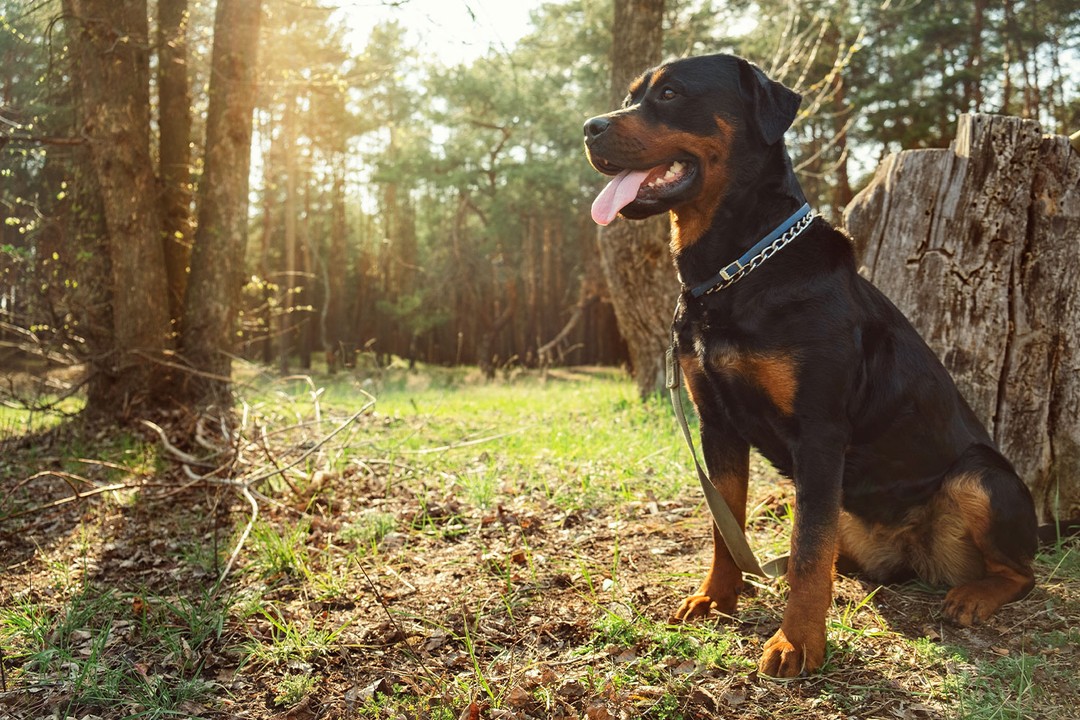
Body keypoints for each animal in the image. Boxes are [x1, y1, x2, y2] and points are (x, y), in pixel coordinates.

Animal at [587, 53, 1041, 677]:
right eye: (633, 96)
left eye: (672, 93)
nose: (590, 127)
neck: (735, 269)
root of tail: (915, 553)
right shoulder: (717, 427)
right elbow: (726, 524)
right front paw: (717, 598)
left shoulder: (820, 433)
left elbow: (805, 550)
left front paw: (796, 642)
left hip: (980, 478)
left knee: (1021, 572)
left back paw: (974, 595)